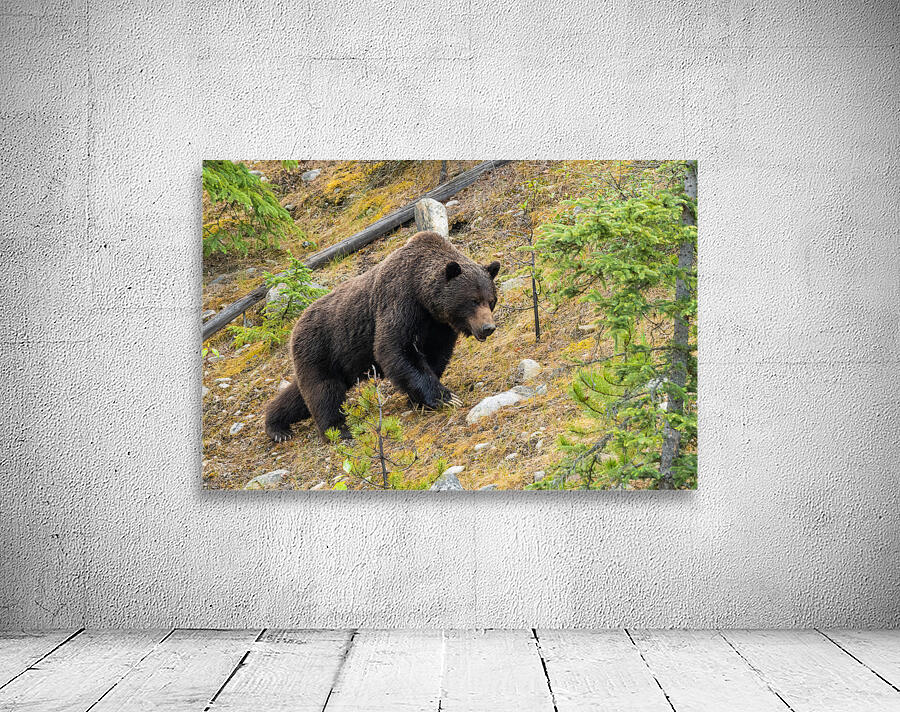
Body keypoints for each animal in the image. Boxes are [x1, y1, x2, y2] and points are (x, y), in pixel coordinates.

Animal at [264, 231, 501, 442]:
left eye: (491, 300)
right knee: (324, 391)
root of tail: (296, 325)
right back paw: (336, 431)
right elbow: (395, 349)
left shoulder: (438, 326)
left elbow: (435, 355)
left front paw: (419, 400)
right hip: (320, 347)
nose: (488, 327)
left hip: (335, 360)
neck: (424, 297)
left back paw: (277, 425)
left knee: (300, 395)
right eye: (473, 300)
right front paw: (446, 398)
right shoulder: (400, 302)